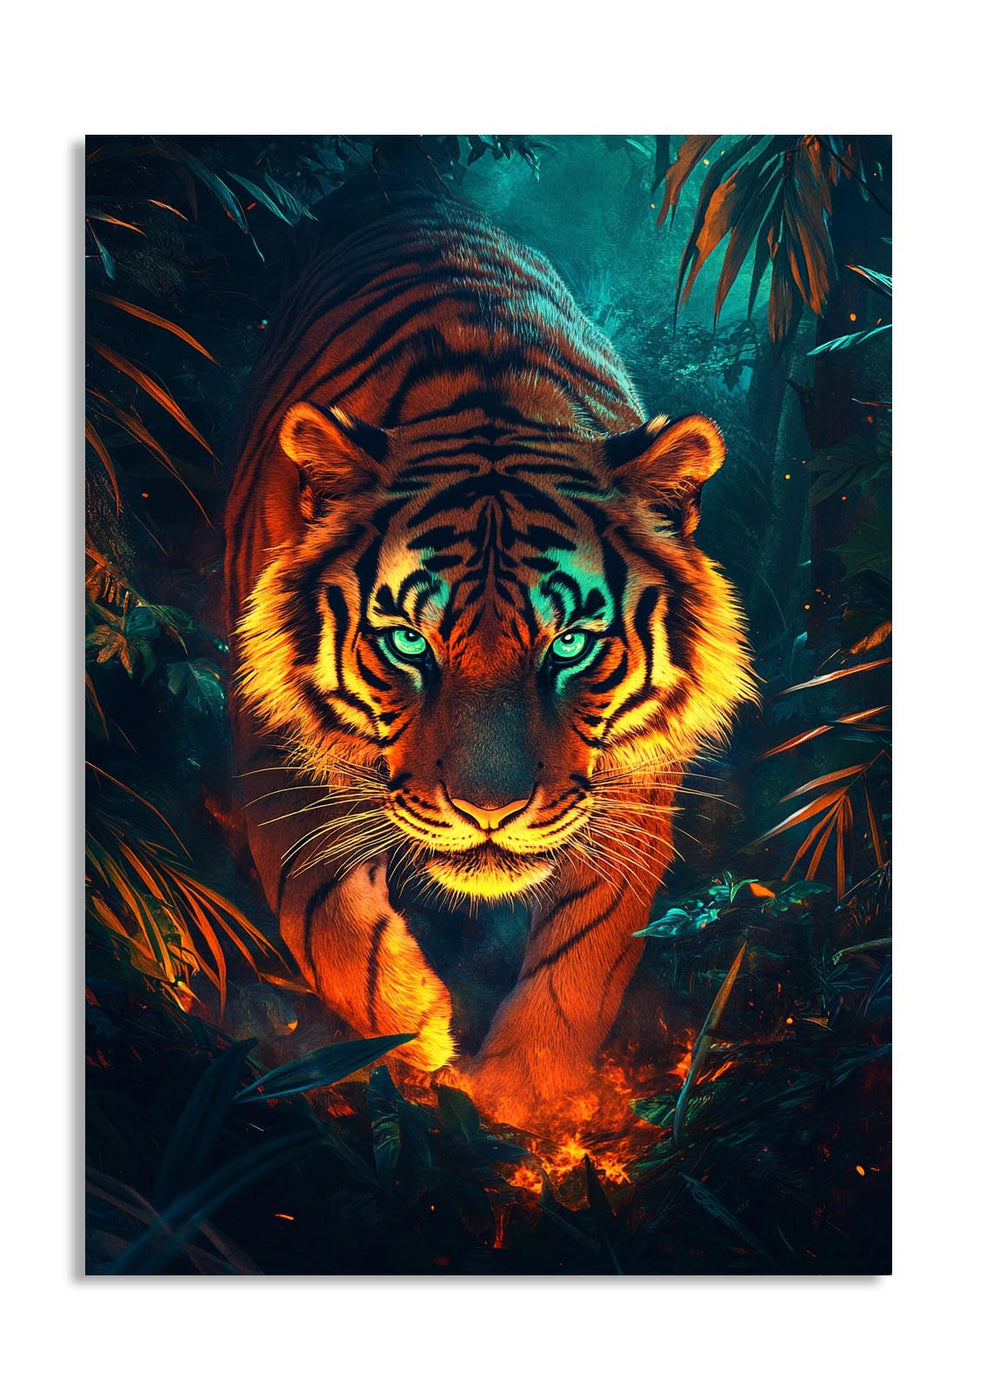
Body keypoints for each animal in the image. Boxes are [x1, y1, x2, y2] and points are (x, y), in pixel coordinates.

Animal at [224, 188, 754, 1129]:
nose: (489, 812)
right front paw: (417, 1032)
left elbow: (586, 949)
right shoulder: (274, 744)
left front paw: (519, 1094)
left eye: (569, 643)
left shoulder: (631, 784)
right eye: (409, 640)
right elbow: (320, 911)